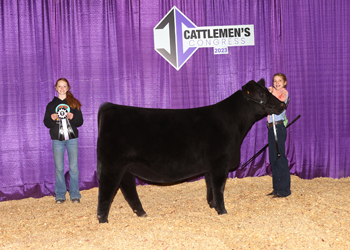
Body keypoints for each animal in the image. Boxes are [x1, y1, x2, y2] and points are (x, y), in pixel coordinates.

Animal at [95, 78, 284, 223]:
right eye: (261, 94)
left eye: (268, 91)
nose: (282, 104)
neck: (233, 123)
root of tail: (110, 107)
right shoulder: (219, 163)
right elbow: (219, 188)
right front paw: (222, 211)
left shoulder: (210, 167)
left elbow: (210, 187)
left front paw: (212, 205)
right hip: (112, 166)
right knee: (106, 192)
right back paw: (103, 220)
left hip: (126, 167)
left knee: (128, 190)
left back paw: (142, 214)